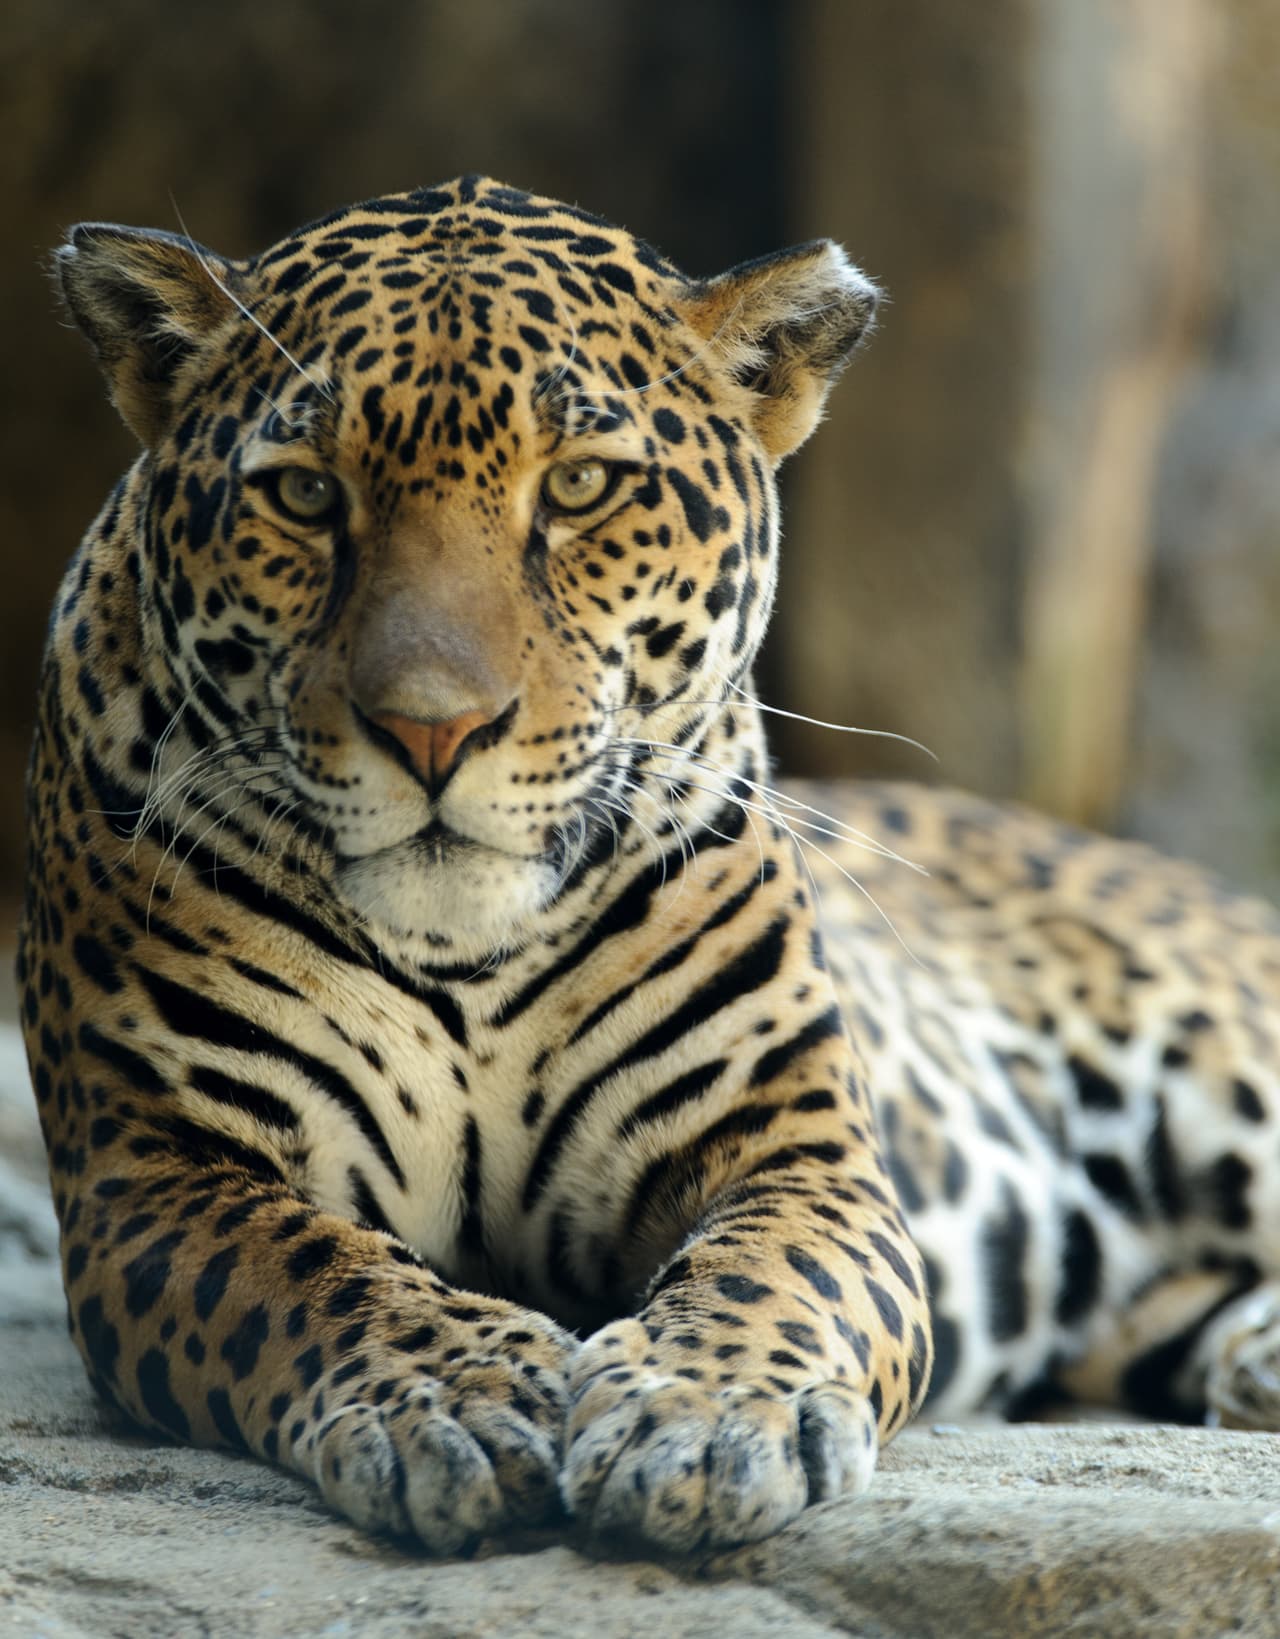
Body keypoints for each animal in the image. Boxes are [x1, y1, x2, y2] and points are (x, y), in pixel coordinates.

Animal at [19, 175, 1280, 1557]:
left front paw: (704, 1416)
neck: (463, 954)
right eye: (302, 495)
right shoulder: (155, 1175)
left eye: (579, 487)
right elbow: (314, 1271)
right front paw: (452, 1396)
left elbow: (774, 1271)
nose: (431, 731)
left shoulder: (790, 1146)